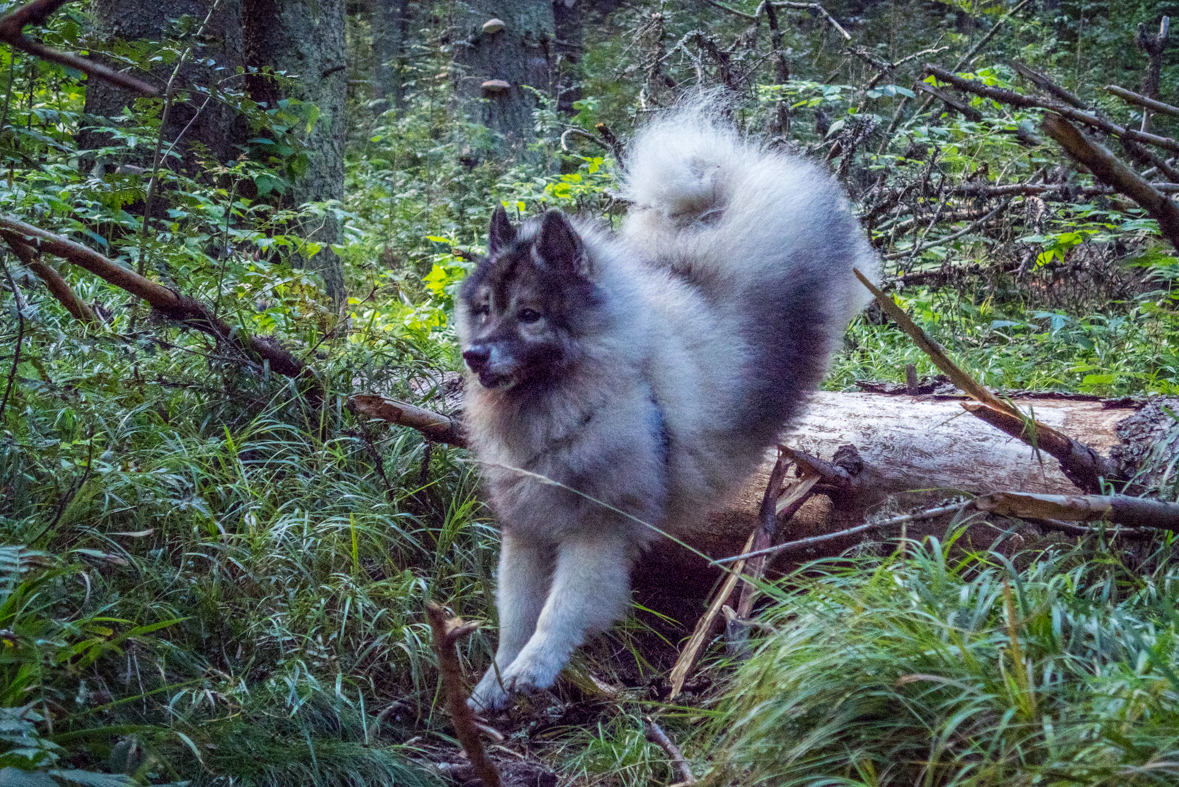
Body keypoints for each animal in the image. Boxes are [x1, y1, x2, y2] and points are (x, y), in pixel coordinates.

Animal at [455, 100, 881, 711]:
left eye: (530, 315)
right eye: (486, 309)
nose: (474, 355)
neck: (571, 402)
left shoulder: (599, 529)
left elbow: (559, 610)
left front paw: (534, 667)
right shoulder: (528, 527)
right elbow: (513, 617)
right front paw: (493, 684)